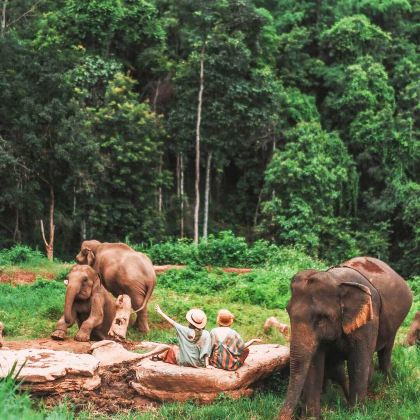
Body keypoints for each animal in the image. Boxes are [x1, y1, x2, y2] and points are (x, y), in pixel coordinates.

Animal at [280, 258, 412, 418]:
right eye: (288, 311)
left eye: (321, 318)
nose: (281, 416)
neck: (336, 280)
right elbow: (315, 363)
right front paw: (311, 417)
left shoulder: (369, 318)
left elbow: (358, 362)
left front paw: (356, 414)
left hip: (394, 325)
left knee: (385, 351)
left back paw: (387, 384)